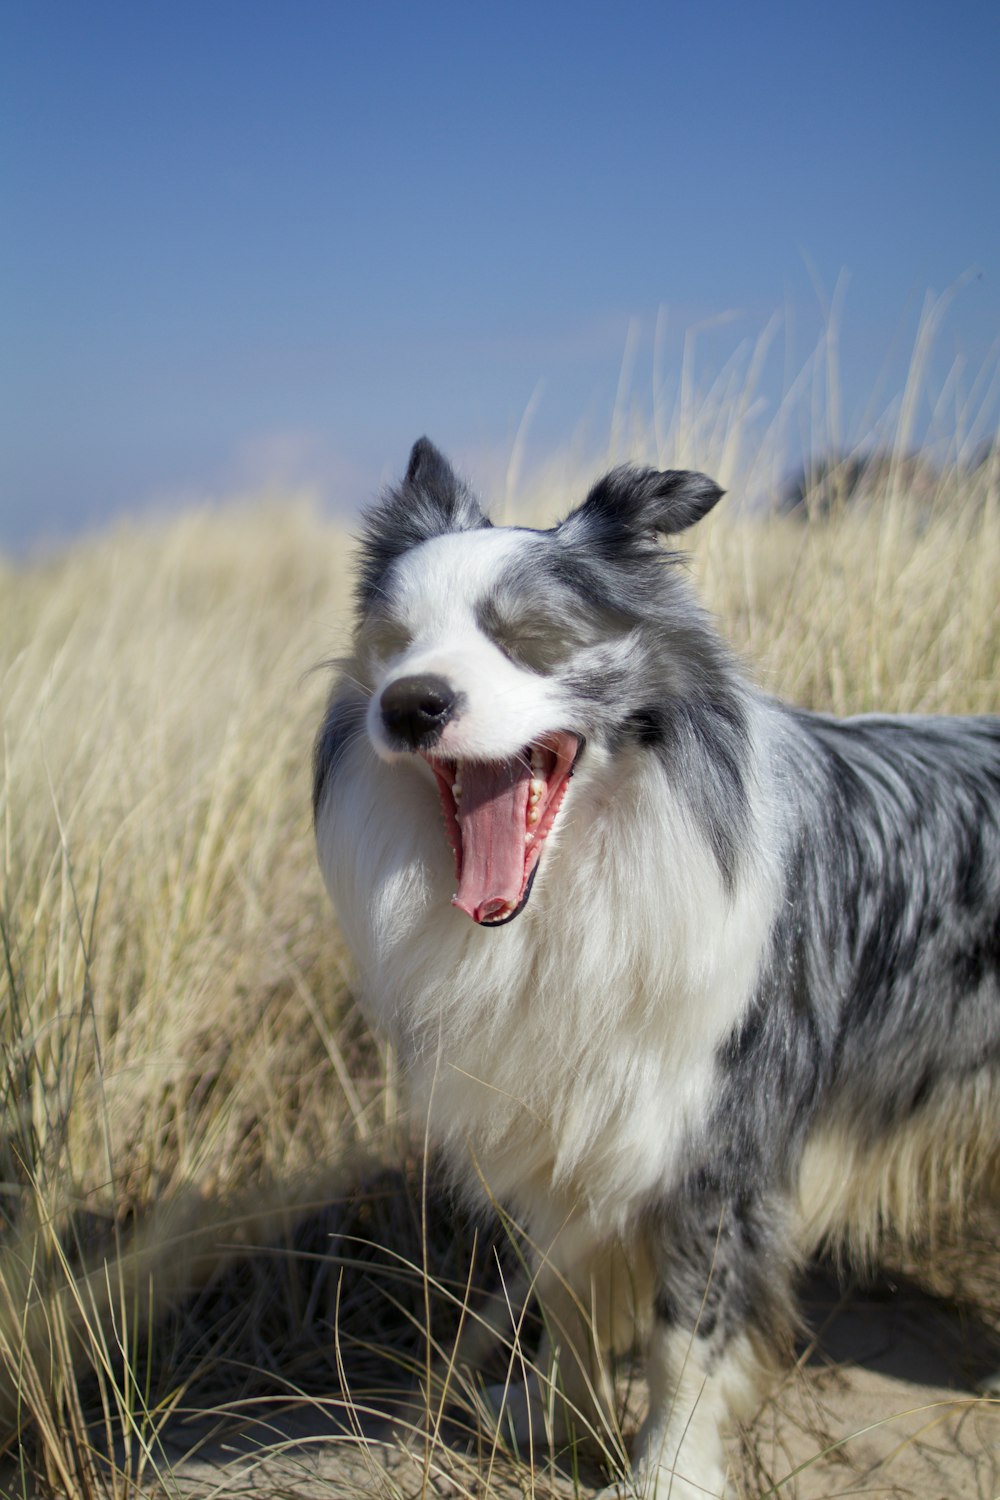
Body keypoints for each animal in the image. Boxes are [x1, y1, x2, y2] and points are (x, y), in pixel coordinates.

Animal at [314, 438, 1000, 1494]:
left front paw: (665, 1474)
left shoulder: (717, 1149)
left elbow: (686, 1340)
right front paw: (552, 1420)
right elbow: (566, 1296)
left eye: (531, 638)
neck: (574, 894)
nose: (411, 704)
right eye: (392, 642)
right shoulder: (557, 1128)